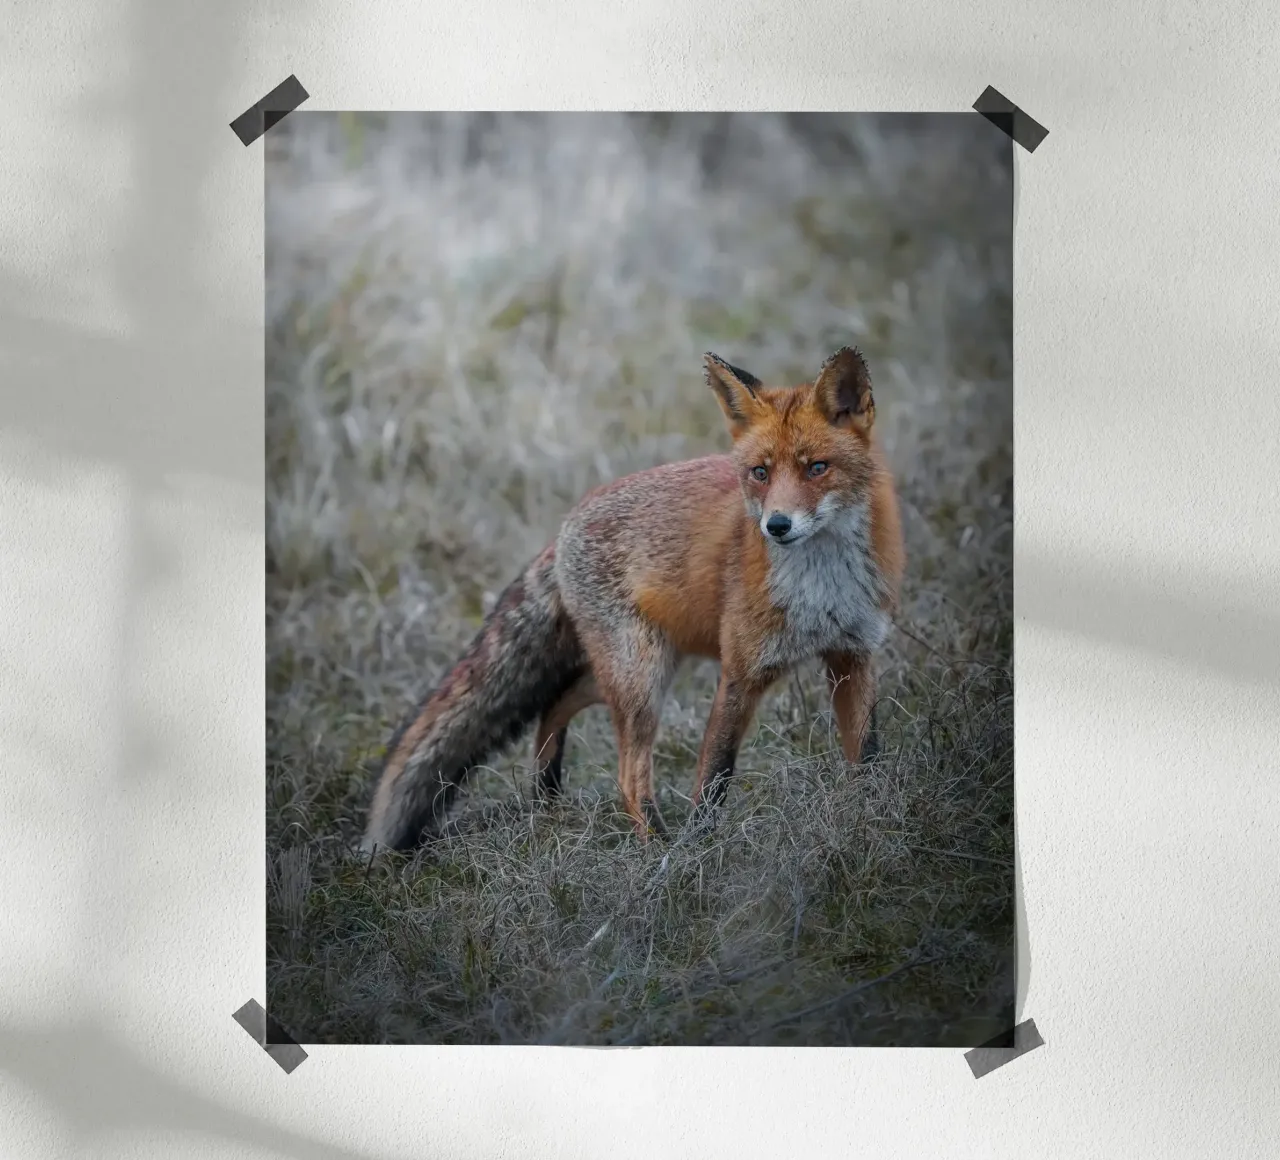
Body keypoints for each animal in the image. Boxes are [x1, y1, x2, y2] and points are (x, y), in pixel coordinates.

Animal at [361, 346, 905, 853]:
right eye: (759, 473)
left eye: (817, 468)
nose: (777, 525)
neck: (821, 587)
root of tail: (565, 525)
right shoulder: (741, 670)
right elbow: (713, 779)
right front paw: (694, 857)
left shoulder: (853, 655)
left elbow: (868, 756)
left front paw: (871, 822)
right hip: (642, 676)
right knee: (627, 773)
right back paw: (655, 849)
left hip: (641, 668)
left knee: (557, 701)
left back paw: (547, 792)